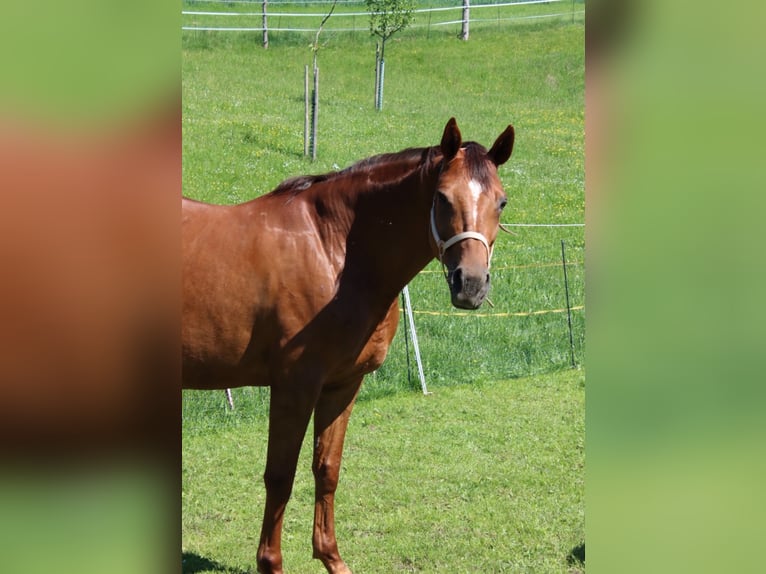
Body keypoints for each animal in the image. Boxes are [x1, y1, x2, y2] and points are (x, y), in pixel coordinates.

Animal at [182, 118, 515, 574]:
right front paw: (271, 562)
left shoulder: (343, 385)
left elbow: (327, 468)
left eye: (501, 202)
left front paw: (331, 557)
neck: (334, 250)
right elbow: (280, 475)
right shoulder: (294, 386)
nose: (472, 285)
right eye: (443, 198)